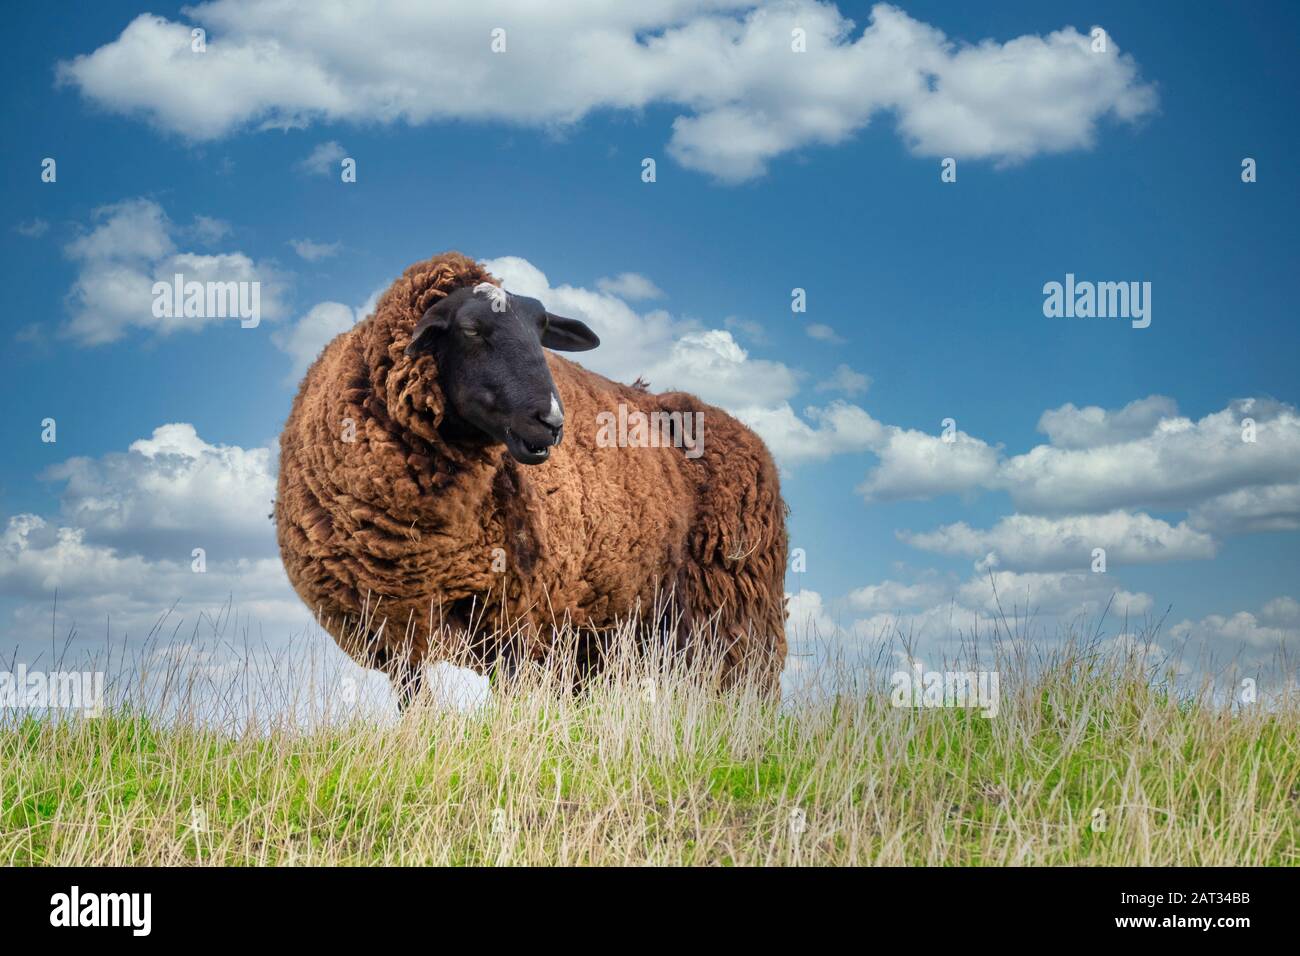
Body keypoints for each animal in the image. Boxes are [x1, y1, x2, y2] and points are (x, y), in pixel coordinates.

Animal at [275, 251, 788, 702]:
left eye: (541, 332)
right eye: (471, 329)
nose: (552, 421)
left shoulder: (516, 618)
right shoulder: (392, 626)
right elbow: (415, 703)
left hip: (735, 608)